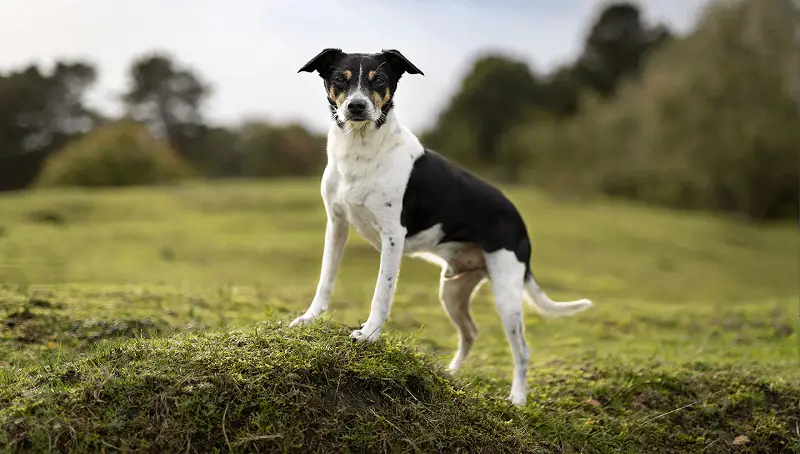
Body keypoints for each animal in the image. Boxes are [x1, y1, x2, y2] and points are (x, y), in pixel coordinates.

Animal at [290, 48, 592, 404]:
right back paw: (451, 374)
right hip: (452, 290)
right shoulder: (336, 225)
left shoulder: (393, 238)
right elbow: (326, 280)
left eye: (379, 80)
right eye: (340, 79)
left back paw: (517, 399)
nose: (357, 106)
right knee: (471, 331)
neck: (361, 151)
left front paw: (369, 334)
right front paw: (309, 319)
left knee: (522, 349)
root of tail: (519, 221)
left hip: (506, 293)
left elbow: (382, 293)